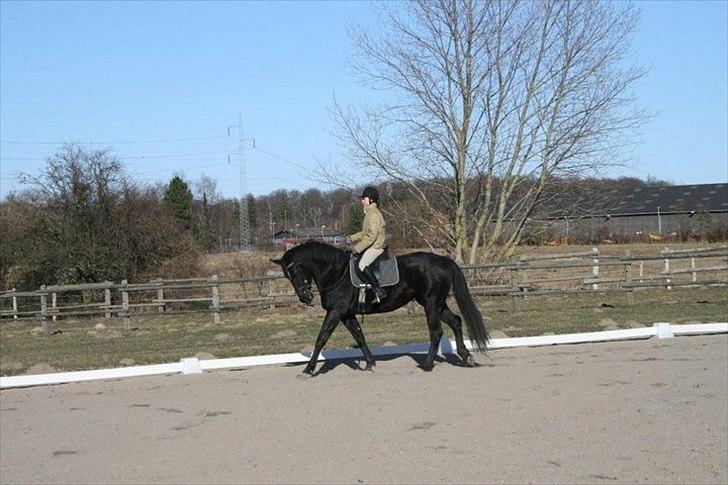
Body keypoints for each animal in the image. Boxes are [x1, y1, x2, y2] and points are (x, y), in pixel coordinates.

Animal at [270, 241, 492, 374]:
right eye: (287, 275)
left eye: (296, 270)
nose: (305, 297)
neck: (336, 273)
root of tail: (443, 260)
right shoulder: (346, 314)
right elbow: (359, 336)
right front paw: (369, 363)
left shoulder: (336, 312)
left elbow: (321, 338)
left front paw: (308, 369)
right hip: (437, 303)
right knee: (456, 321)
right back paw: (466, 357)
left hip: (431, 303)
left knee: (436, 331)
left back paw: (428, 365)